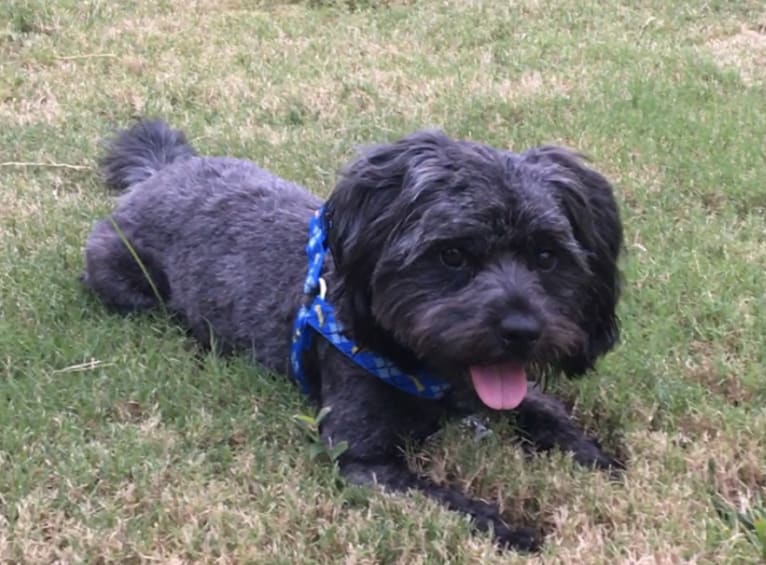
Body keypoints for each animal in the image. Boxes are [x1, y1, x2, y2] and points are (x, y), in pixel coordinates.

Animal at [82, 120, 624, 552]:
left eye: (546, 257)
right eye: (452, 255)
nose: (522, 330)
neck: (421, 368)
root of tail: (160, 173)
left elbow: (550, 415)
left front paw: (599, 460)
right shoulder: (362, 458)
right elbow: (448, 500)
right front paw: (510, 530)